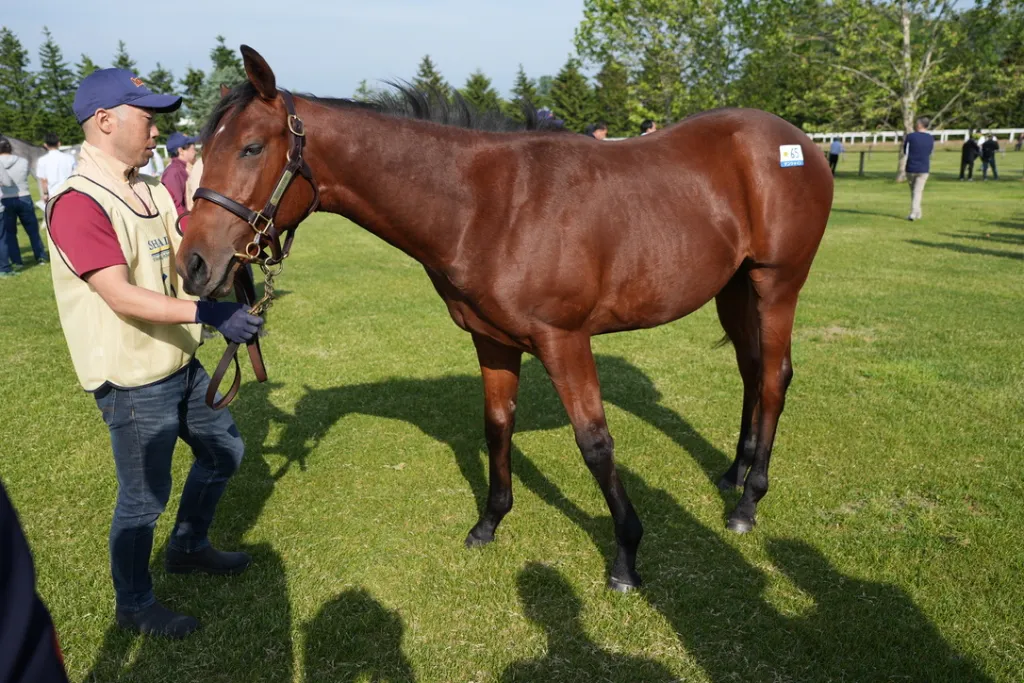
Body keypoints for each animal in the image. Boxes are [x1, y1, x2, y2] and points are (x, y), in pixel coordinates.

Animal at [177, 46, 833, 591]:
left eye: (251, 147)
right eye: (203, 151)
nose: (194, 265)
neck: (490, 206)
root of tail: (798, 142)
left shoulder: (565, 341)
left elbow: (595, 443)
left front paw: (626, 555)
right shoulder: (492, 341)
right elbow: (497, 426)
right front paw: (489, 523)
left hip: (777, 285)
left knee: (773, 378)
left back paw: (748, 503)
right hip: (736, 288)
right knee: (752, 373)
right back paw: (734, 473)